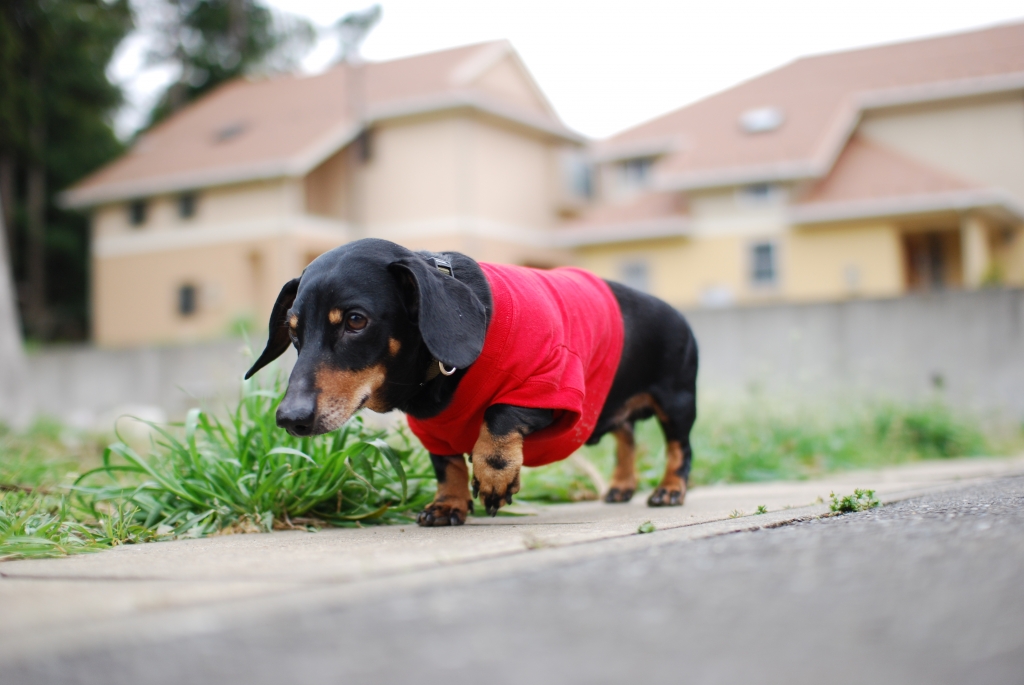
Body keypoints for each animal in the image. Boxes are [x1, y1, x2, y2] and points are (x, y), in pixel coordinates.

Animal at [245, 236, 696, 524]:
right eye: (294, 332)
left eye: (356, 321)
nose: (290, 418)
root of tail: (677, 313)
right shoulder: (433, 427)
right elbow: (446, 466)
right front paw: (448, 506)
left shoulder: (549, 385)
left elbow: (499, 416)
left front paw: (495, 478)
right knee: (627, 436)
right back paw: (621, 486)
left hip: (677, 404)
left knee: (680, 449)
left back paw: (670, 490)